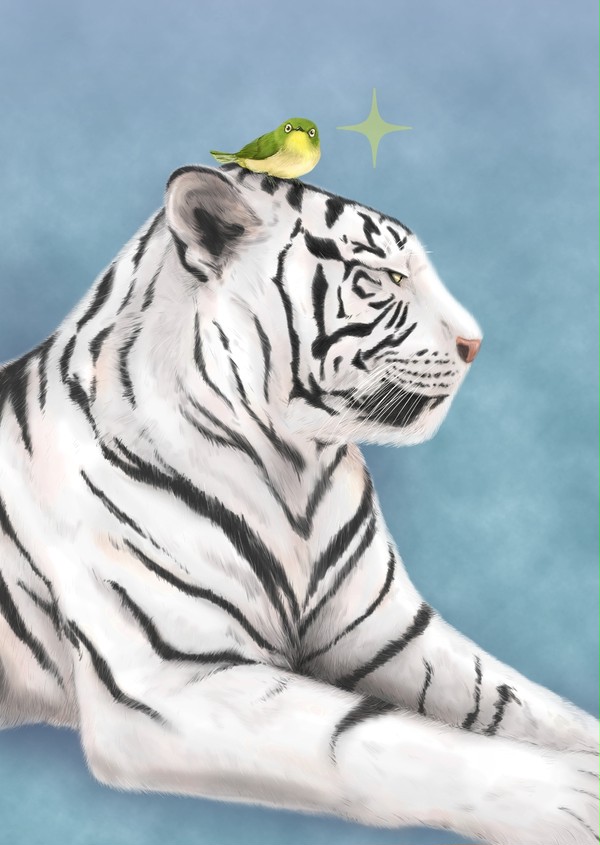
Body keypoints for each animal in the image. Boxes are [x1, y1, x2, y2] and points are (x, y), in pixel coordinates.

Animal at [0, 163, 598, 845]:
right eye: (383, 278)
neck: (292, 472)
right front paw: (578, 794)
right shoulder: (174, 679)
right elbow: (372, 735)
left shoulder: (392, 634)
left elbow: (523, 703)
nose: (476, 343)